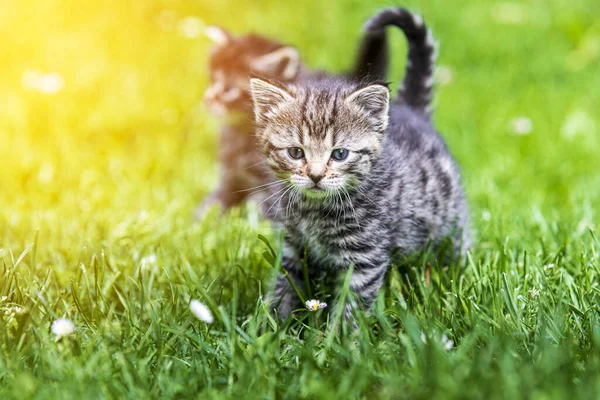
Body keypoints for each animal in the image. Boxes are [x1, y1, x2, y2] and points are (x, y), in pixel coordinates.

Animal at [195, 24, 386, 219]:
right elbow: (216, 200)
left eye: (230, 89)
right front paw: (203, 217)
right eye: (212, 78)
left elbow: (261, 207)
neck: (241, 132)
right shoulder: (232, 177)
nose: (208, 99)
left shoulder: (270, 185)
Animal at [248, 7, 468, 320]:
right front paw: (271, 326)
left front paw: (340, 333)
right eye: (295, 152)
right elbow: (284, 287)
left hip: (450, 223)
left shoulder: (364, 256)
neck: (314, 212)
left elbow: (351, 306)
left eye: (340, 154)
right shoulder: (292, 247)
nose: (315, 175)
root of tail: (411, 111)